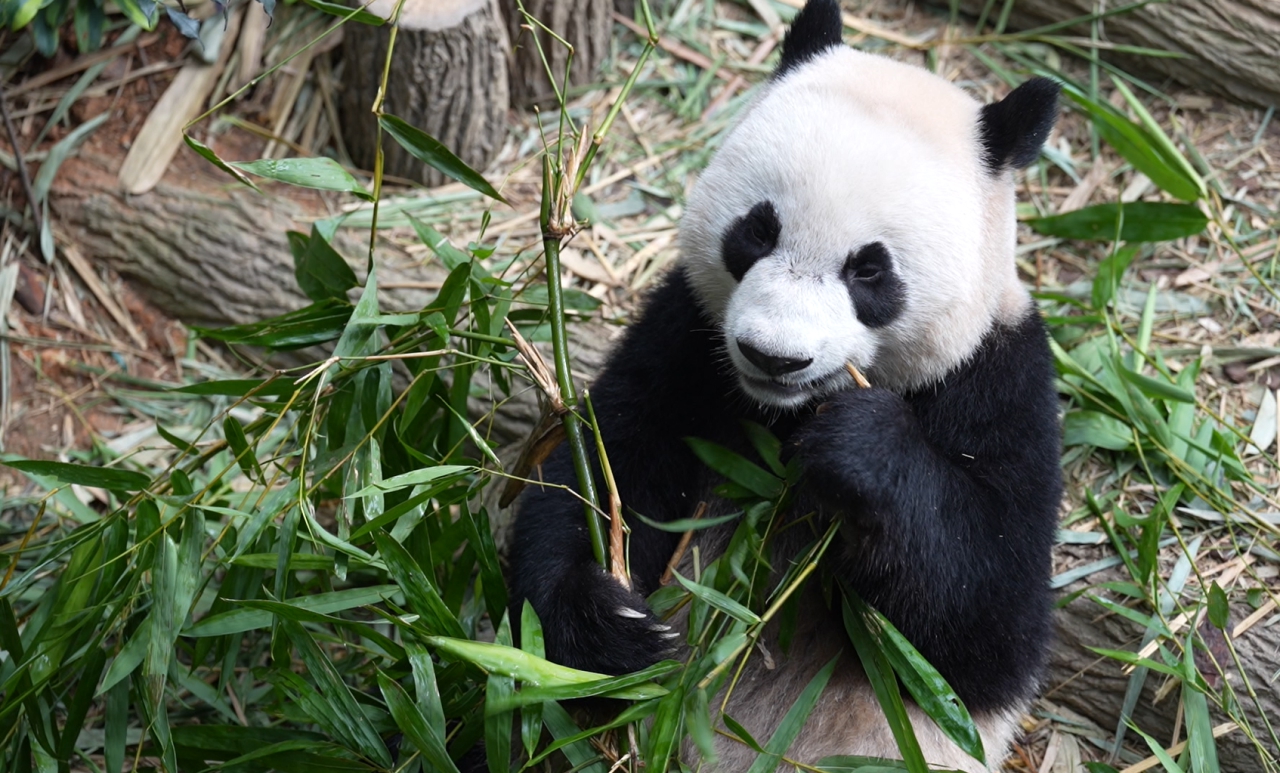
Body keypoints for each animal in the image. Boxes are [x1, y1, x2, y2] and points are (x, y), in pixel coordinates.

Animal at [506, 0, 1059, 767]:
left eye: (870, 270)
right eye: (757, 230)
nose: (773, 356)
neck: (780, 415)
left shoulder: (996, 378)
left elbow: (989, 627)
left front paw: (859, 446)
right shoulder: (687, 337)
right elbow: (612, 457)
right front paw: (612, 620)